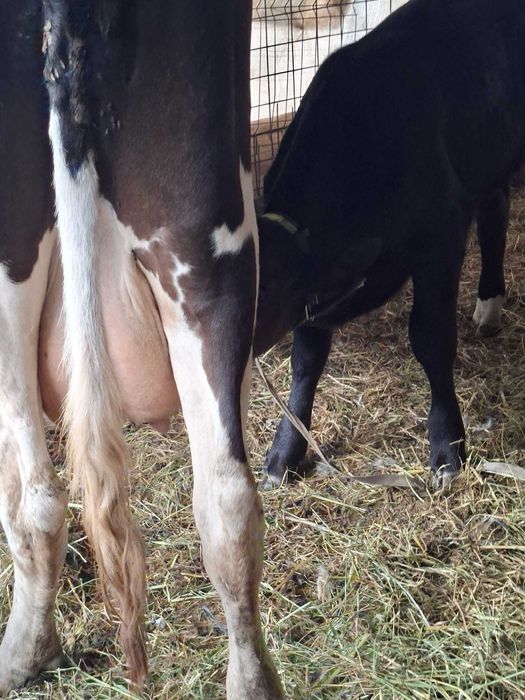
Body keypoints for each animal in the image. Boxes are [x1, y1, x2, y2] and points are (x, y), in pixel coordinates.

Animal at [252, 0, 524, 490]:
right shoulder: (312, 292)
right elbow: (305, 360)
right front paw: (284, 452)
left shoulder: (440, 237)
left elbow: (431, 338)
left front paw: (447, 447)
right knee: (495, 211)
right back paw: (489, 308)